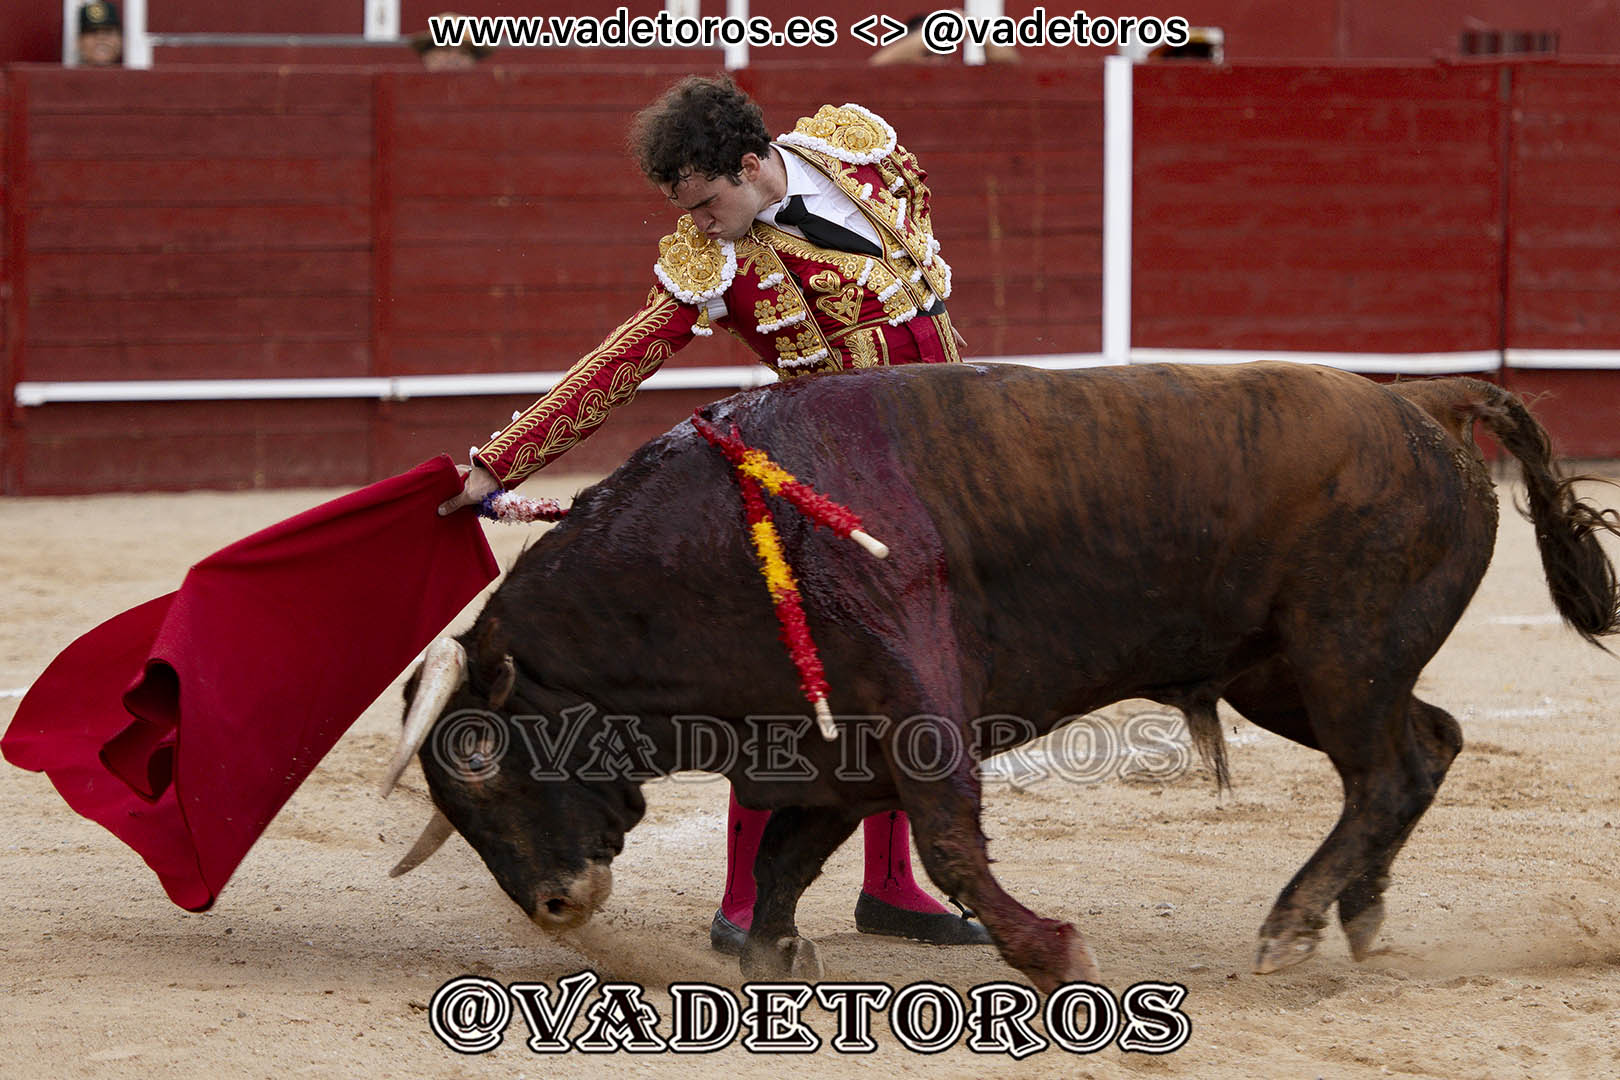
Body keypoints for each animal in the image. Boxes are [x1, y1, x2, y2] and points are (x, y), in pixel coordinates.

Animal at [378, 361, 1620, 992]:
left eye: (476, 760)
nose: (554, 907)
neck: (713, 543)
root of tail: (1428, 399)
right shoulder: (832, 741)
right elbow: (788, 853)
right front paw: (775, 955)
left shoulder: (916, 710)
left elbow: (950, 845)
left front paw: (1056, 951)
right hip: (1287, 674)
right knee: (1429, 745)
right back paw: (1356, 914)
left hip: (1340, 657)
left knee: (1387, 773)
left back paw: (1292, 924)